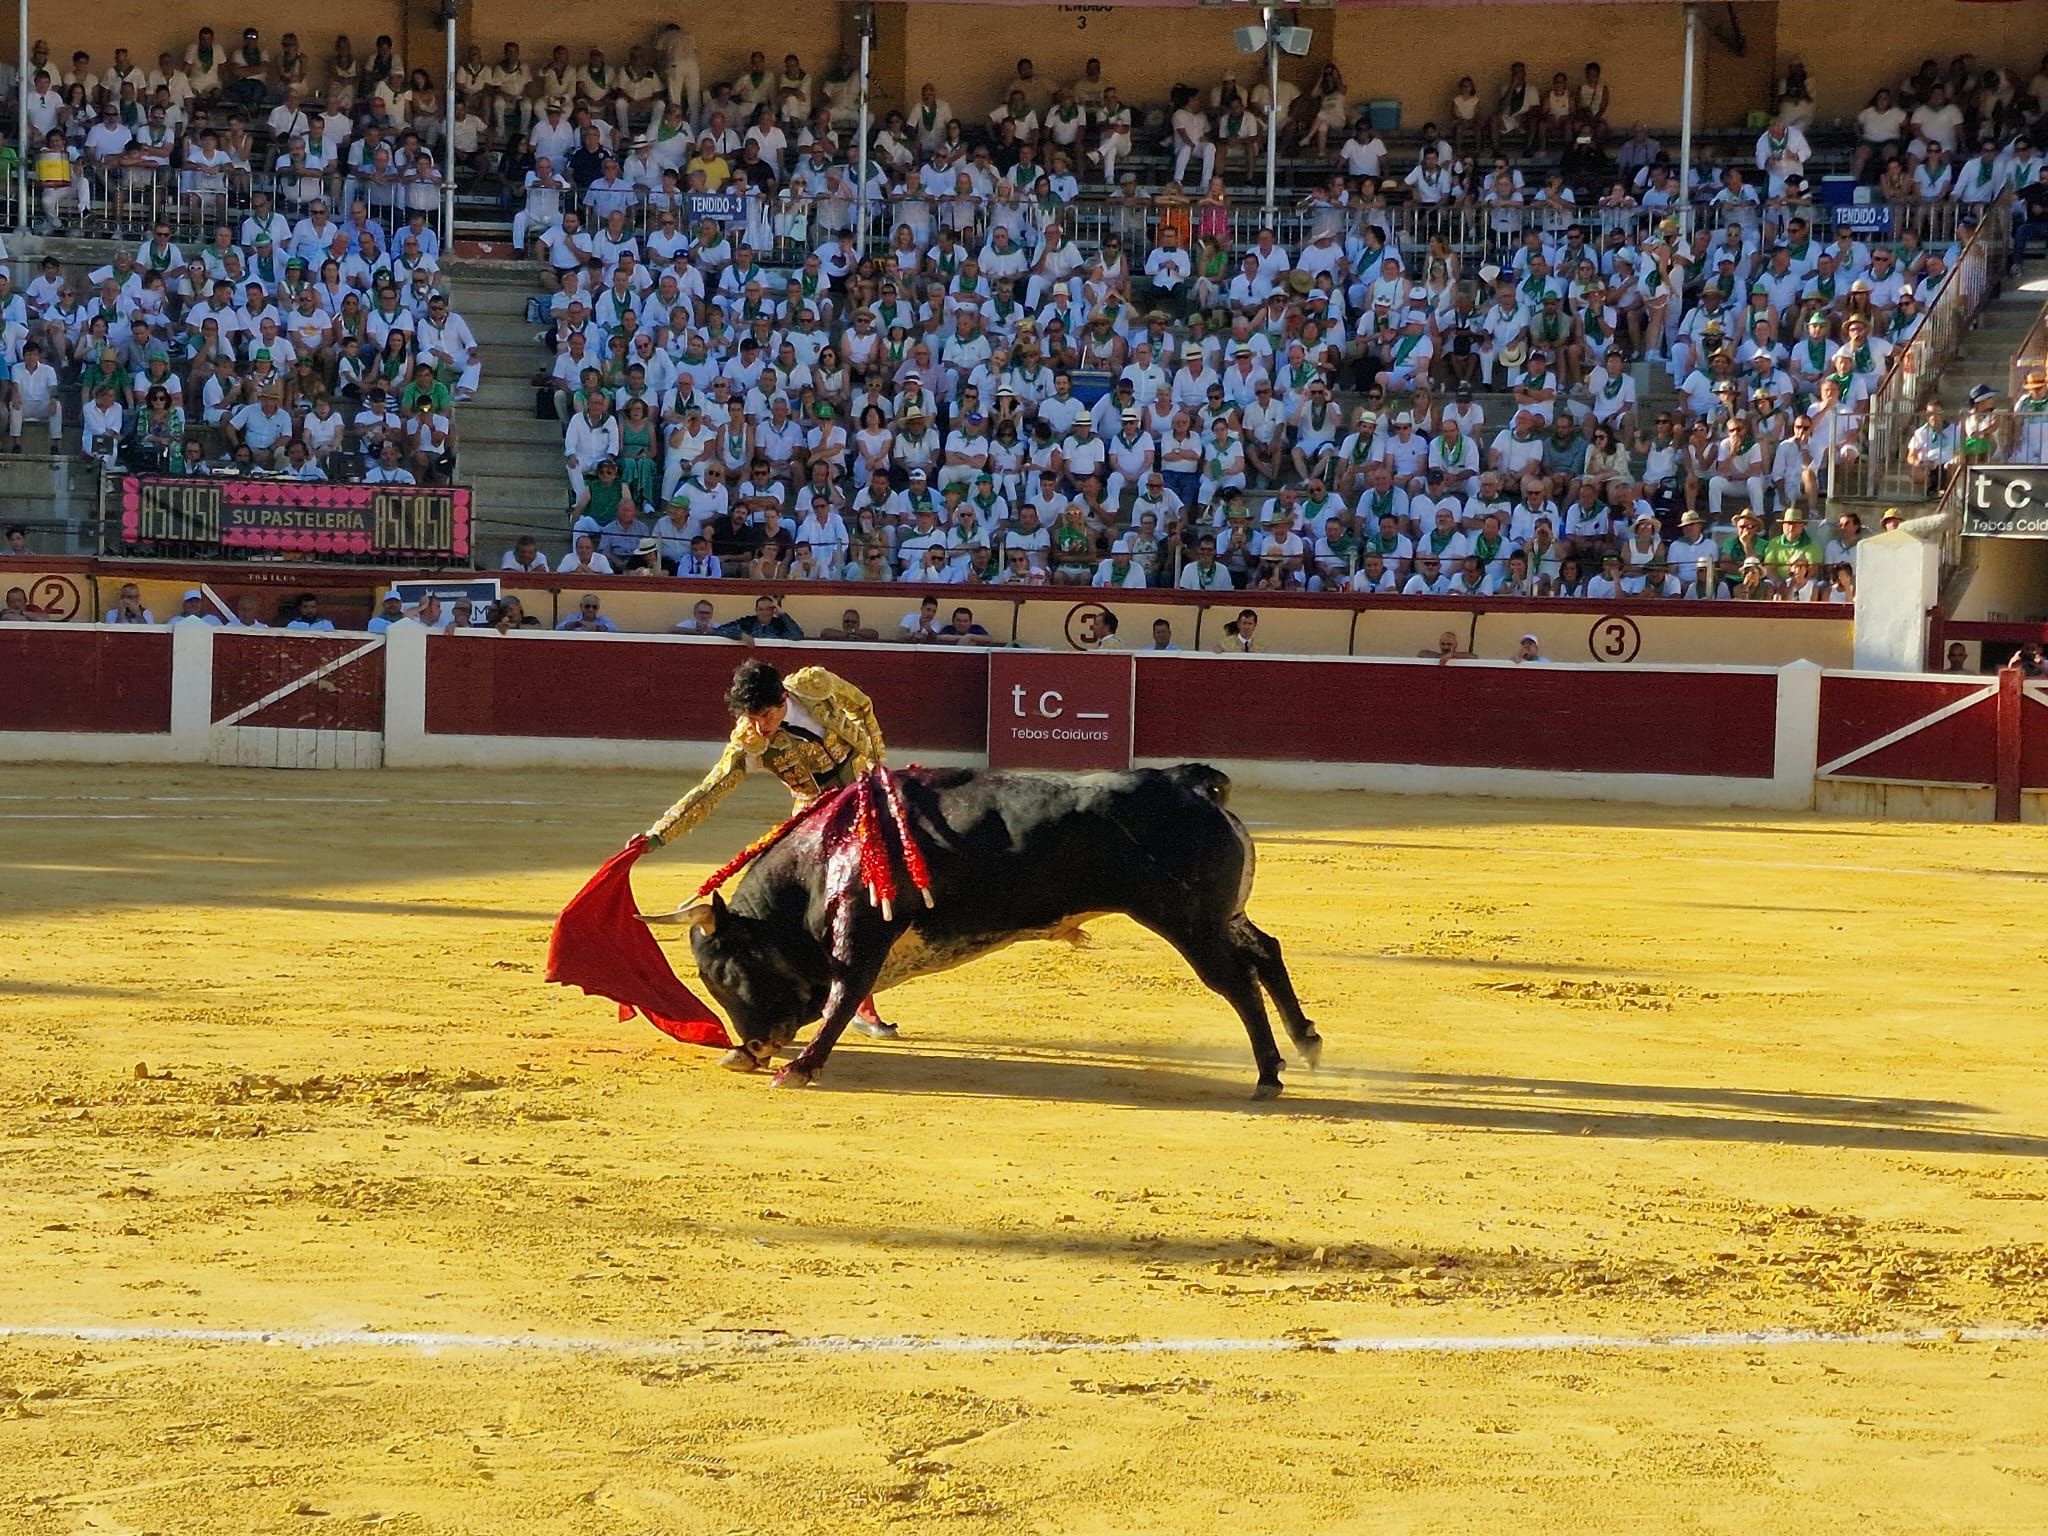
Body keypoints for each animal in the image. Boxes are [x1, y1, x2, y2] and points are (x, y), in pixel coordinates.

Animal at [663, 765, 1318, 1097]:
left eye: (727, 971)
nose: (753, 1046)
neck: (823, 856)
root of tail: (1194, 788)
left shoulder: (861, 931)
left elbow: (843, 996)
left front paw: (799, 1068)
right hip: (1221, 915)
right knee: (1265, 951)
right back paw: (1305, 1042)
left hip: (1188, 922)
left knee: (1235, 980)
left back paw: (1268, 1074)